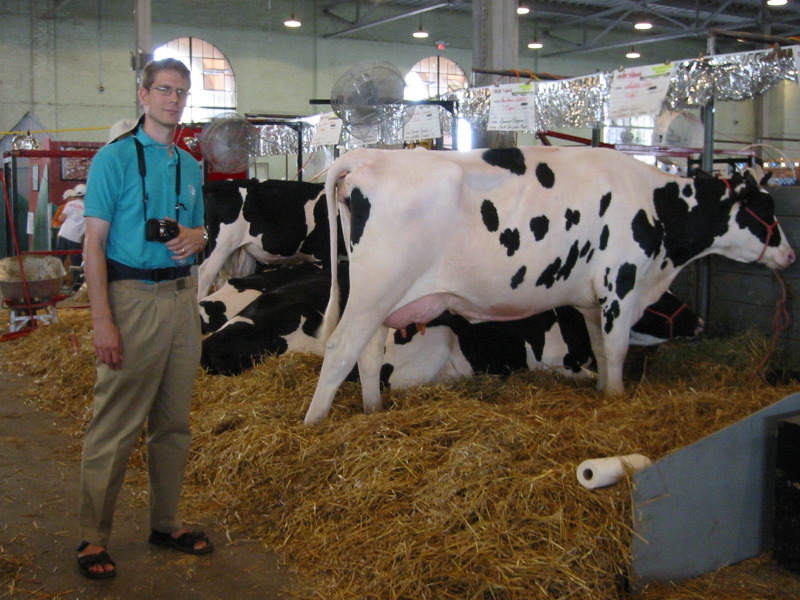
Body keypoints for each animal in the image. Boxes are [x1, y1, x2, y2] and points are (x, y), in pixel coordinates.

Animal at [302, 146, 792, 422]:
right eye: (765, 209)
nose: (789, 255)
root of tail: (367, 155)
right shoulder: (621, 284)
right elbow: (617, 349)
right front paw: (616, 398)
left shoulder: (592, 300)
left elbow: (599, 348)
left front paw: (602, 390)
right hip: (376, 288)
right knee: (341, 348)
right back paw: (314, 421)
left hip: (385, 299)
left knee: (368, 354)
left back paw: (373, 412)